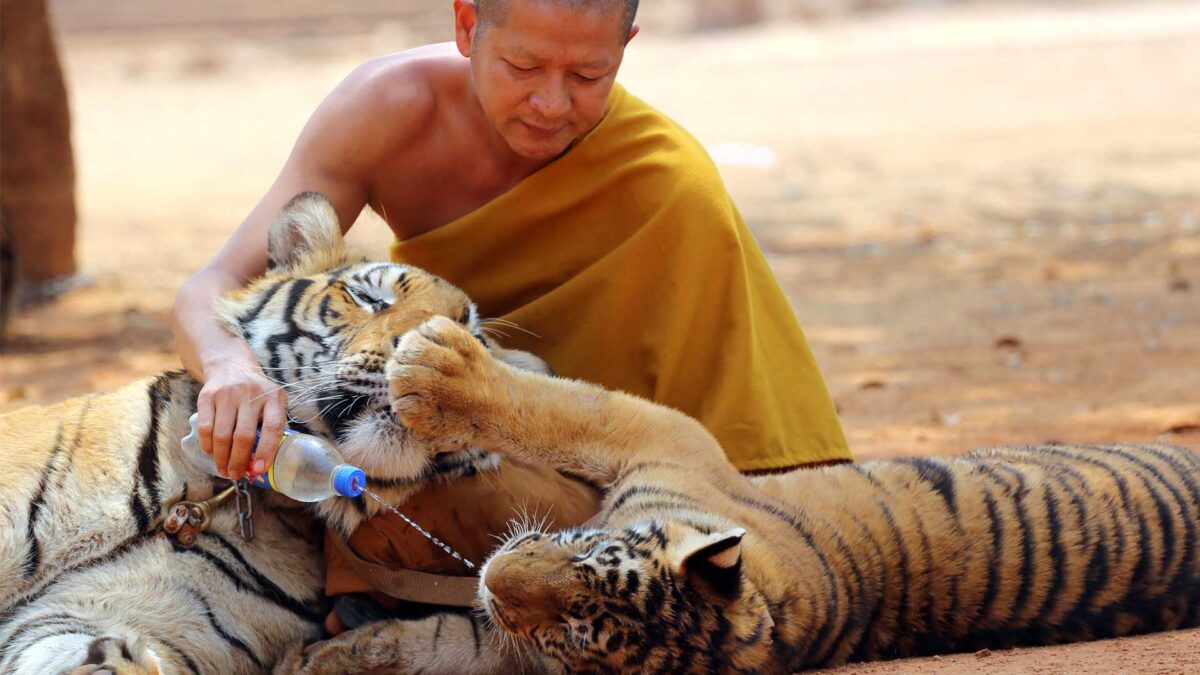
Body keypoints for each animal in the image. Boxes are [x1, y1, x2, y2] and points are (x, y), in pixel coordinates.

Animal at [0, 190, 549, 672]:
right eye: (369, 297)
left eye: (473, 342)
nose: (421, 351)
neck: (216, 496)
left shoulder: (125, 613)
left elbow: (70, 644)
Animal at [280, 314, 1200, 672]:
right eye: (583, 551)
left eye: (573, 632)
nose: (492, 578)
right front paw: (328, 654)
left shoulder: (662, 437)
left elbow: (556, 407)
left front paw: (436, 367)